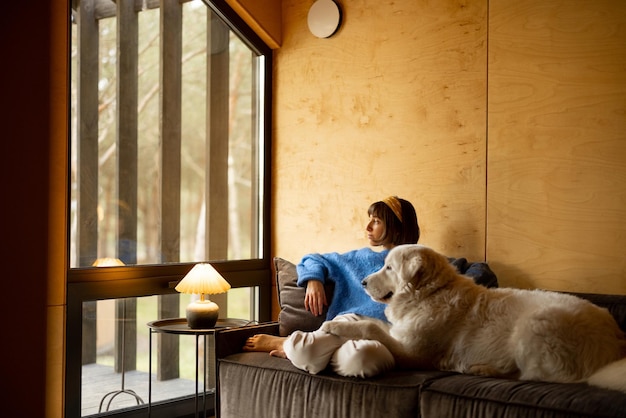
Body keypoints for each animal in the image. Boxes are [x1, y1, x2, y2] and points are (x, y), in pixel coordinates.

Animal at [320, 243, 624, 394]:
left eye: (389, 268)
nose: (363, 282)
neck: (430, 293)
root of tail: (614, 344)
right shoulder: (400, 334)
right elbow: (375, 323)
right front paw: (344, 319)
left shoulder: (412, 353)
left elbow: (371, 327)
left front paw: (333, 324)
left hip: (535, 324)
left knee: (538, 376)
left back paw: (477, 369)